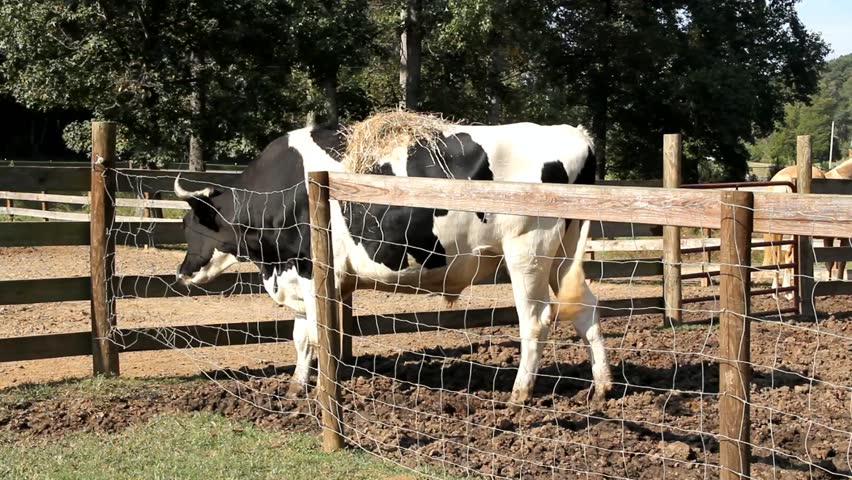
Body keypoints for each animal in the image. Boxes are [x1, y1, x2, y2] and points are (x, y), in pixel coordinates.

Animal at [173, 119, 612, 405]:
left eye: (193, 225)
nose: (180, 273)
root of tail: (572, 132)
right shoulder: (297, 273)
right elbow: (302, 337)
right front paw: (297, 387)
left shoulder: (312, 270)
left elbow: (316, 336)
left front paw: (321, 393)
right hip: (563, 253)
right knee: (585, 309)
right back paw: (601, 387)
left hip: (528, 250)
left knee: (534, 320)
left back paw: (519, 396)